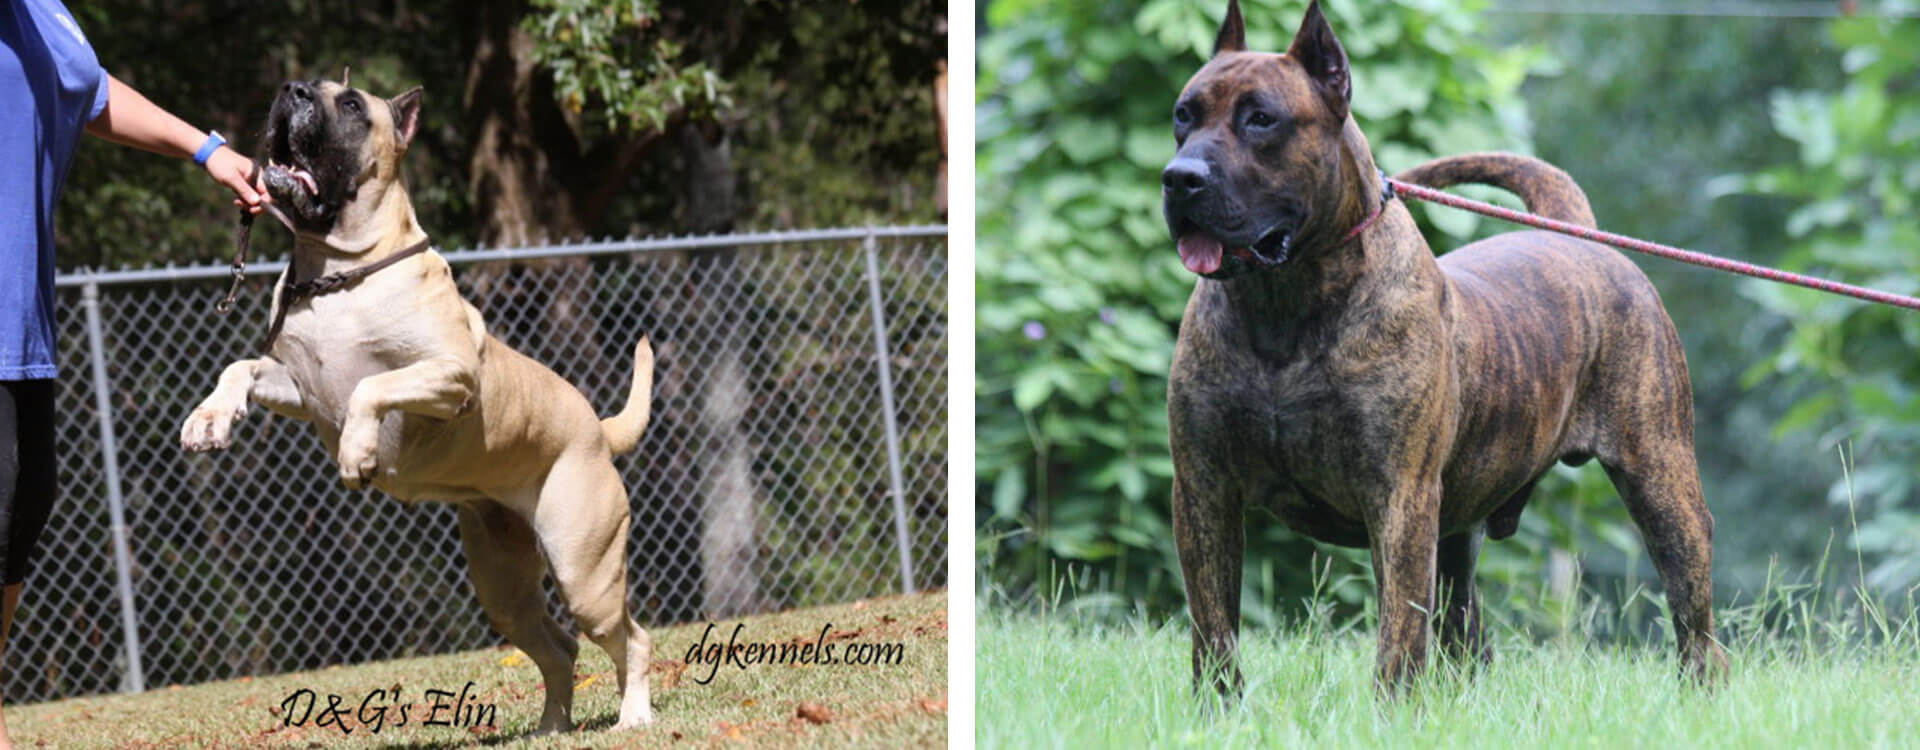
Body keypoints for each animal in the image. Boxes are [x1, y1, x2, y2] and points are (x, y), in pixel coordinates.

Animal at [1159, 0, 1735, 698]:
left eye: (1261, 119)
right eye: (1183, 115)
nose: (1180, 179)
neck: (1285, 305)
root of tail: (1581, 236)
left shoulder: (1400, 496)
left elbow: (1397, 632)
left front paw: (1390, 709)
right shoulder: (1203, 489)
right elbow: (1213, 625)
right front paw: (1218, 708)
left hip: (1662, 481)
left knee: (1692, 617)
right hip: (1463, 527)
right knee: (1465, 628)